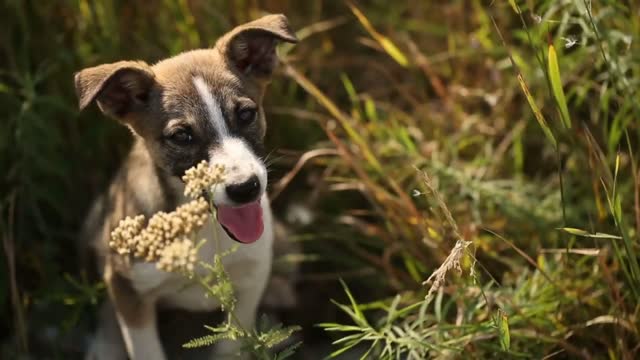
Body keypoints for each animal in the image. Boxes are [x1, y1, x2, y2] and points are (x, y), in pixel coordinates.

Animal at [75, 14, 298, 360]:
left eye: (247, 114)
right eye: (181, 136)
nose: (246, 188)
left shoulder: (252, 277)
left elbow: (231, 345)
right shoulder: (130, 290)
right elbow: (145, 349)